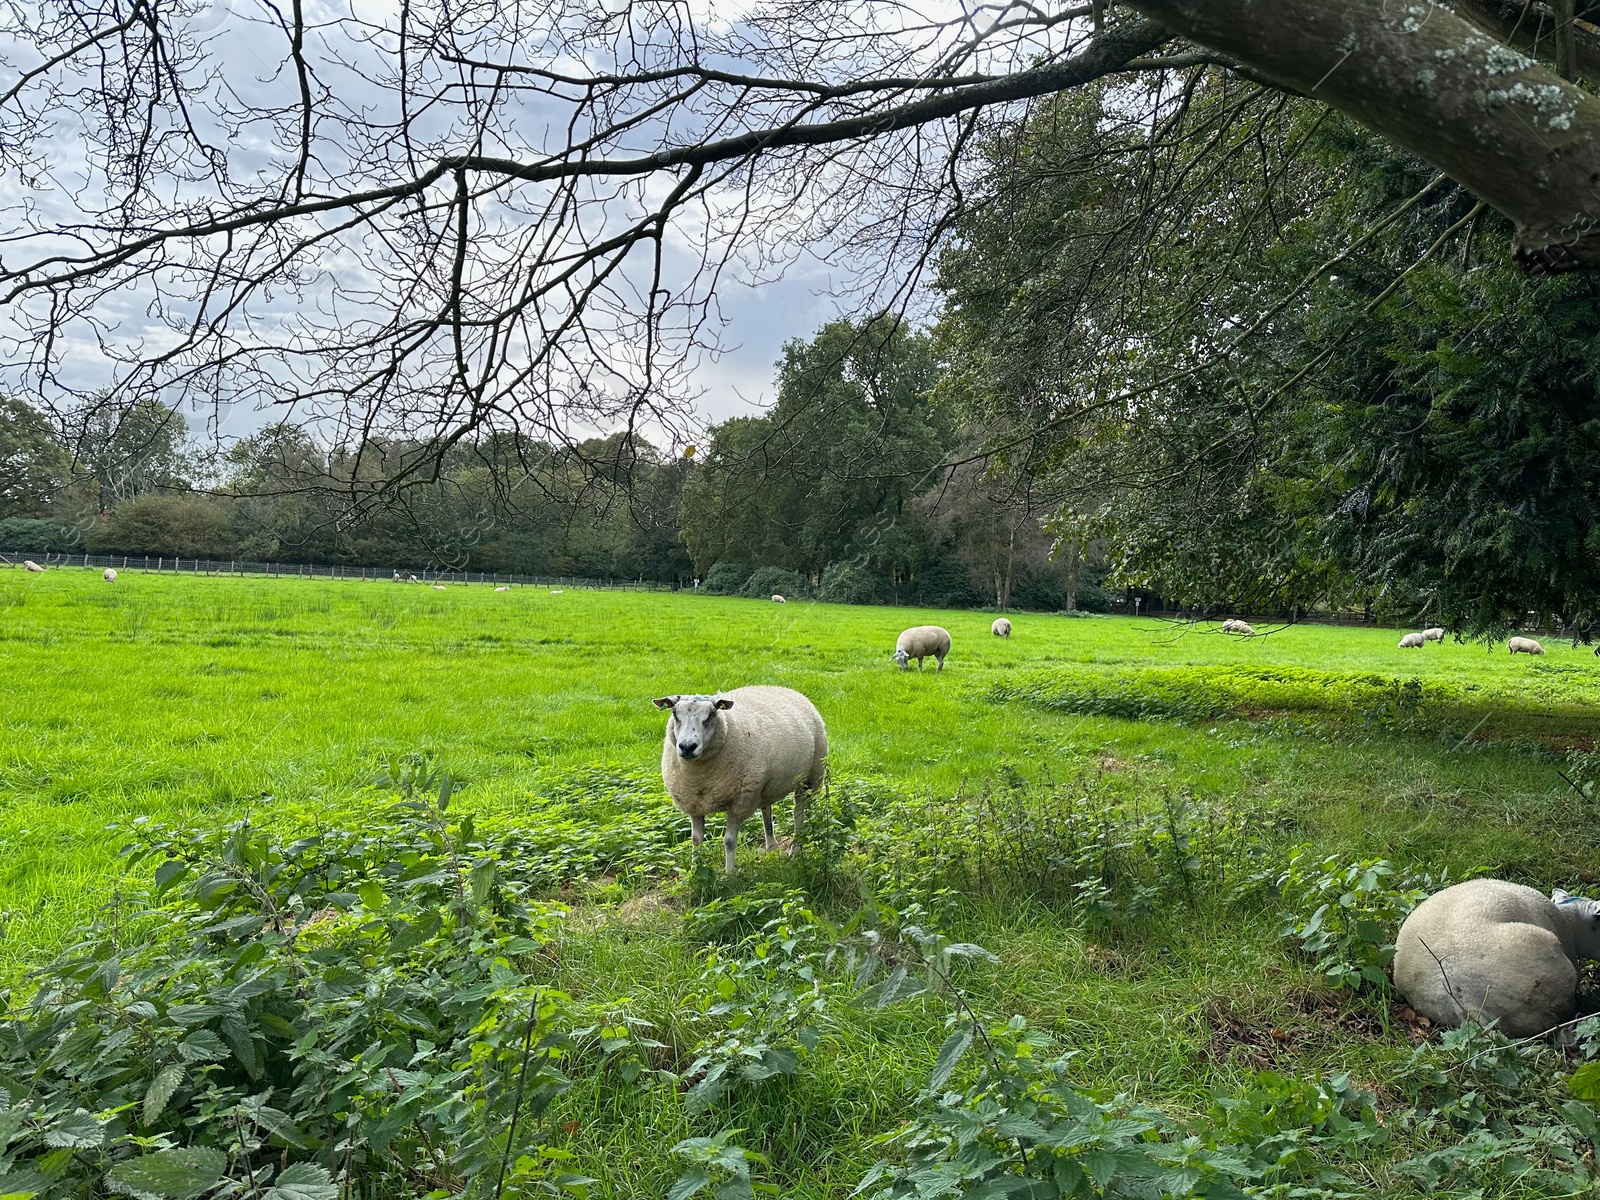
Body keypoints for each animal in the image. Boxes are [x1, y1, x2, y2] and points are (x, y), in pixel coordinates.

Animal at [649, 684, 825, 876]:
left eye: (712, 714)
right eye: (674, 712)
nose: (688, 747)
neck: (700, 777)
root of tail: (783, 688)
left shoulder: (738, 803)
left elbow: (729, 841)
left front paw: (729, 873)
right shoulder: (693, 803)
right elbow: (696, 840)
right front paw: (695, 871)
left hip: (810, 778)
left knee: (798, 816)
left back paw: (794, 850)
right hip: (762, 787)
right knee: (767, 811)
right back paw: (771, 847)